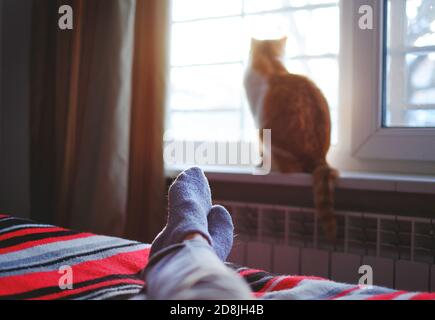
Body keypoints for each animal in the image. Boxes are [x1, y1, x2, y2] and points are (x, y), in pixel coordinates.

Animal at [244, 37, 338, 241]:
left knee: (288, 168)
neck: (273, 66)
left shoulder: (258, 121)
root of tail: (318, 157)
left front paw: (260, 164)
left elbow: (261, 151)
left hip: (267, 135)